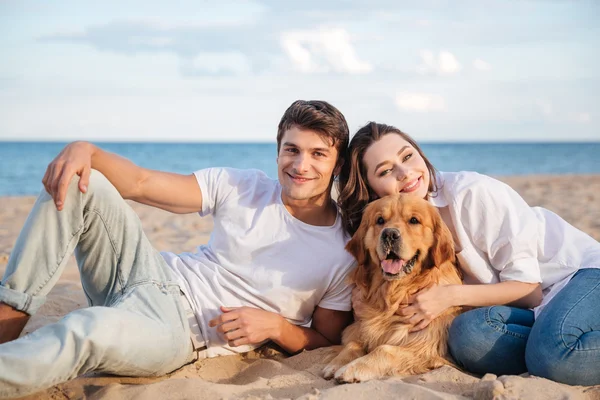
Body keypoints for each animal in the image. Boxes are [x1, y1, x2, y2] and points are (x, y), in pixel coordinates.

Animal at [326, 195, 462, 382]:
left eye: (414, 220)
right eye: (380, 220)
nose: (390, 234)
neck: (394, 294)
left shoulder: (426, 347)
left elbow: (384, 349)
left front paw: (351, 369)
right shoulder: (358, 327)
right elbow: (353, 343)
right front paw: (337, 362)